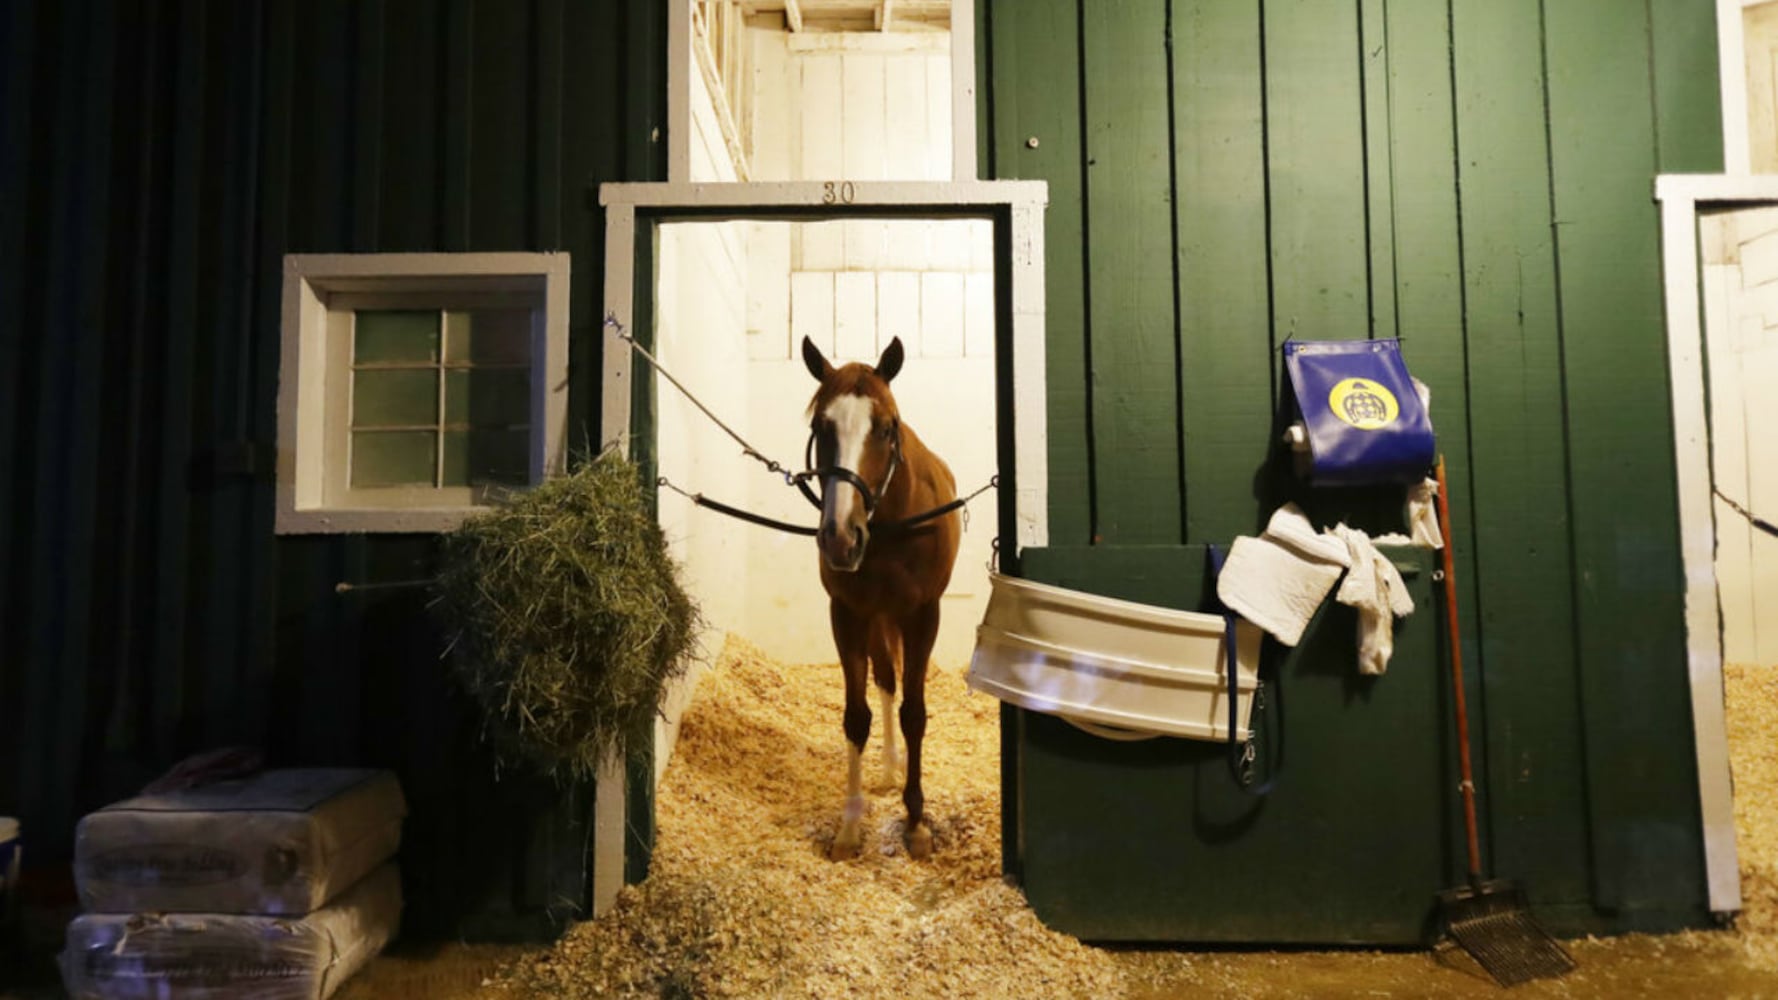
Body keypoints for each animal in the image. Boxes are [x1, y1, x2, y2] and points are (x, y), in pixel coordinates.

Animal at [803, 334, 960, 857]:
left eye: (886, 427)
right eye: (820, 425)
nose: (840, 537)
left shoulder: (923, 615)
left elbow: (915, 714)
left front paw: (916, 823)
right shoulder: (849, 613)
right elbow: (857, 716)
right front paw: (850, 829)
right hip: (875, 620)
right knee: (886, 679)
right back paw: (890, 768)